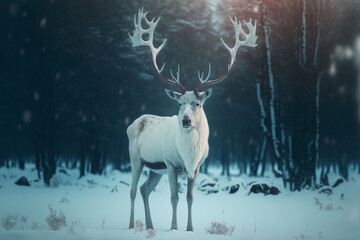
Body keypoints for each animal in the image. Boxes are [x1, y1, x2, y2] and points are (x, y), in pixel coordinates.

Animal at [126, 8, 256, 232]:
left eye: (198, 103)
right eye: (179, 104)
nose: (186, 121)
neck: (189, 153)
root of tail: (132, 123)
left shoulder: (196, 168)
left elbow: (190, 198)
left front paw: (190, 228)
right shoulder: (170, 163)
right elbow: (174, 198)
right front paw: (174, 228)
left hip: (155, 169)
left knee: (144, 189)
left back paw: (150, 225)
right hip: (136, 159)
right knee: (133, 189)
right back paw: (131, 225)